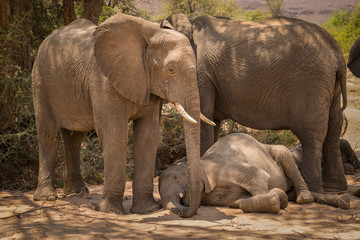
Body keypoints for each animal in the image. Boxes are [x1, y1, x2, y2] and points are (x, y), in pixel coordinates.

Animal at [33, 13, 211, 218]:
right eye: (171, 70)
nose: (183, 209)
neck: (149, 35)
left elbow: (148, 136)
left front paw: (147, 210)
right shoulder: (104, 79)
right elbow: (114, 134)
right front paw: (111, 211)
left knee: (74, 138)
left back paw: (77, 192)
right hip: (40, 80)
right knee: (48, 135)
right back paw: (47, 197)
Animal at [166, 13, 348, 193]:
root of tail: (336, 51)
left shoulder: (200, 71)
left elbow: (204, 116)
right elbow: (212, 121)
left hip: (310, 82)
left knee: (311, 135)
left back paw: (313, 190)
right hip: (330, 84)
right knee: (333, 130)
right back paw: (335, 188)